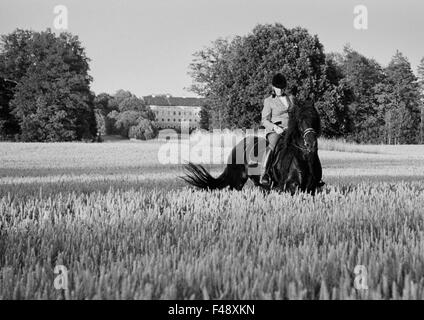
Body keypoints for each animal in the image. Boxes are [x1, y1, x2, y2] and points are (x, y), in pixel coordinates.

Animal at [181, 100, 322, 195]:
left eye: (315, 119)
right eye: (300, 121)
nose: (311, 144)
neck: (304, 158)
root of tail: (238, 145)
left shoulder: (311, 189)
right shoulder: (291, 187)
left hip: (258, 183)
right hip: (237, 180)